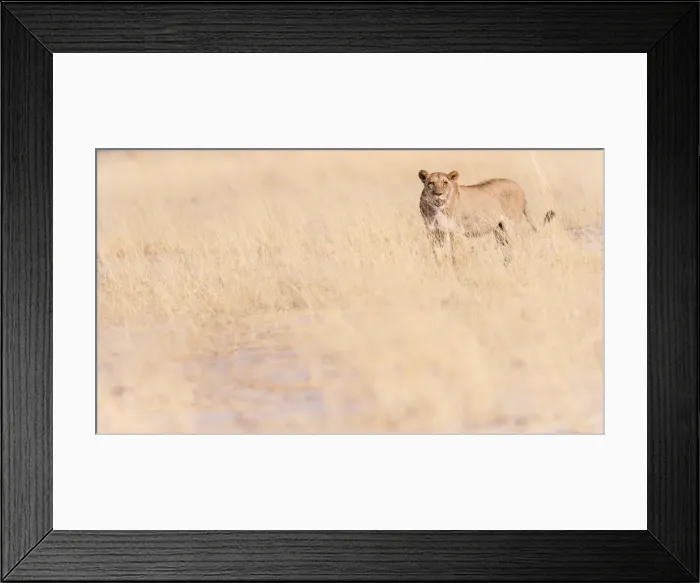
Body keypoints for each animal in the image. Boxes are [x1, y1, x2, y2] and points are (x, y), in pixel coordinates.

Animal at [418, 169, 555, 264]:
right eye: (431, 183)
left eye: (445, 183)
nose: (438, 194)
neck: (437, 208)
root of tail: (520, 188)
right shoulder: (433, 232)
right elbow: (437, 255)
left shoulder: (455, 232)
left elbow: (455, 254)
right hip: (499, 230)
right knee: (506, 249)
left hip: (509, 225)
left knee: (515, 246)